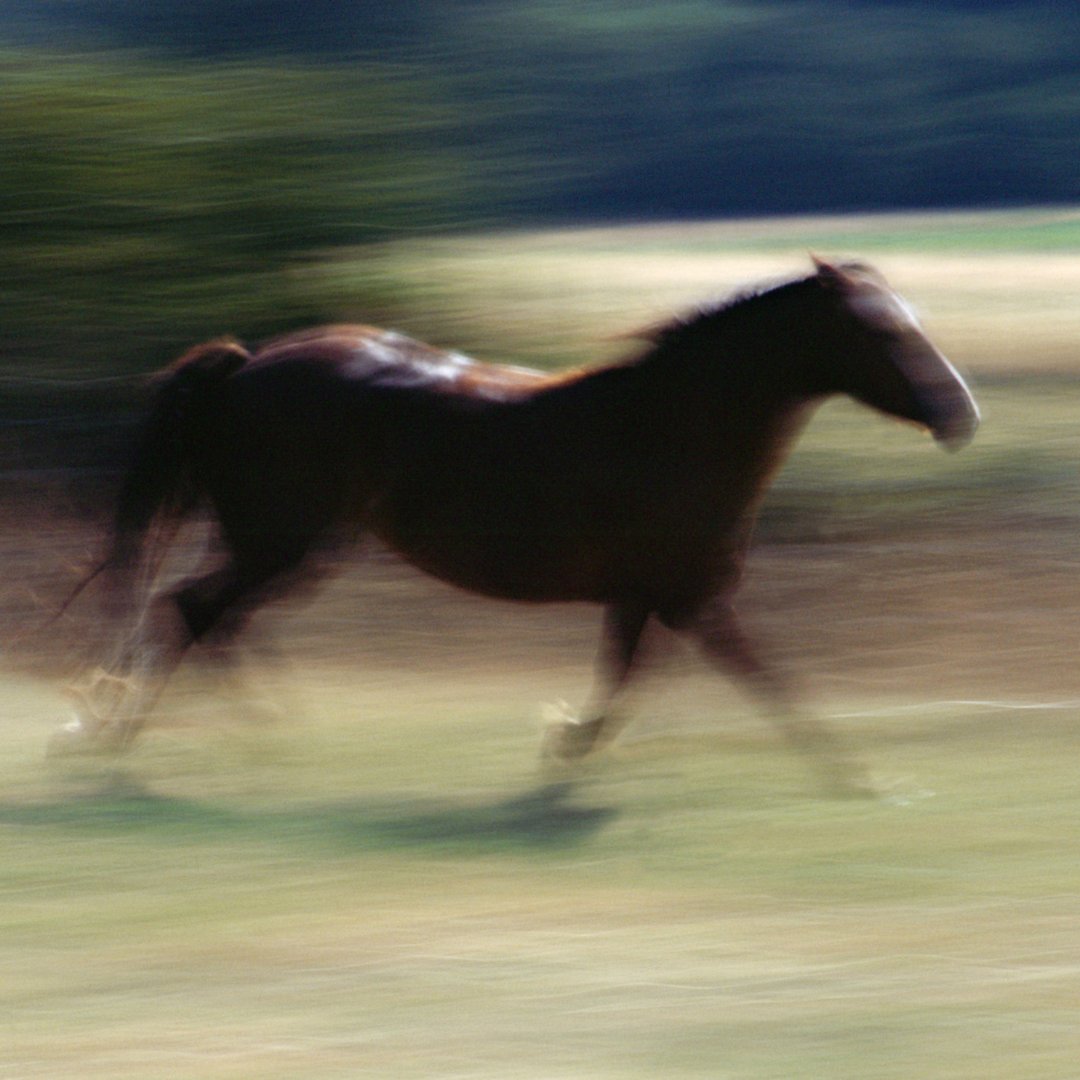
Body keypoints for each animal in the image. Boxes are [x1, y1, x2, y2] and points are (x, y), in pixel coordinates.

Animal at [49, 257, 979, 795]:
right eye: (882, 330)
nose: (962, 415)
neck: (669, 428)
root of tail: (245, 365)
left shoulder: (651, 596)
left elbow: (630, 680)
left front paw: (567, 748)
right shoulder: (692, 597)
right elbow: (765, 682)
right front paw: (858, 779)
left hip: (285, 545)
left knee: (209, 618)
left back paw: (233, 735)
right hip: (281, 543)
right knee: (194, 612)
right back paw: (156, 737)